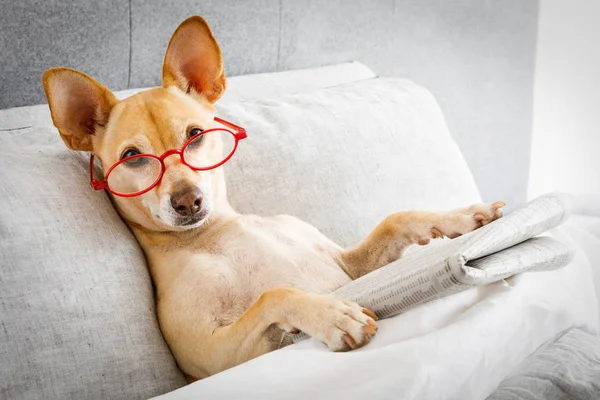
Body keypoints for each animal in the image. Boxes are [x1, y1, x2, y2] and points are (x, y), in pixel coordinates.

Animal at [42, 14, 504, 378]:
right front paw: (332, 315)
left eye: (195, 135)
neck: (218, 232)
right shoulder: (216, 356)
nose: (188, 201)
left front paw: (466, 217)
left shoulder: (349, 267)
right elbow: (275, 295)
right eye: (133, 158)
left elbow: (397, 219)